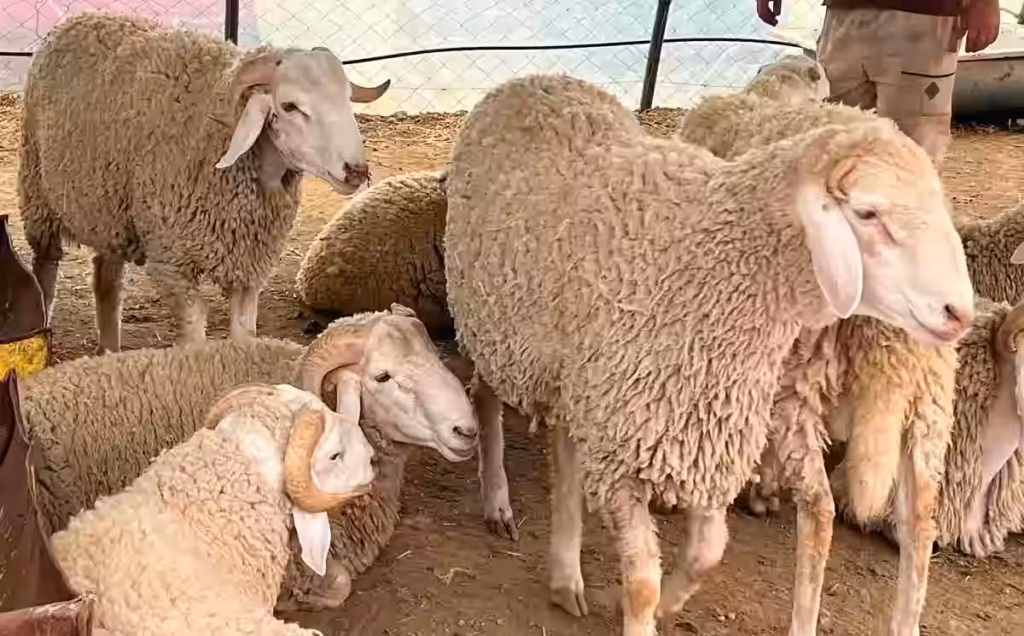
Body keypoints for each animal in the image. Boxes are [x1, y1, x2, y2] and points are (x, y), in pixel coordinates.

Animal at [19, 11, 390, 353]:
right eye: (289, 106)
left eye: (346, 98)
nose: (356, 170)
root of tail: (82, 17)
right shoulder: (174, 265)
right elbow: (195, 335)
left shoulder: (249, 267)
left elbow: (244, 333)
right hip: (37, 191)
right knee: (46, 266)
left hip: (109, 210)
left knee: (107, 278)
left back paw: (109, 348)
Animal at [444, 72, 974, 636]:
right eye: (868, 213)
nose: (958, 313)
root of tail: (538, 78)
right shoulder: (629, 457)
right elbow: (641, 584)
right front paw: (644, 611)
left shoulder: (701, 436)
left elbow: (708, 551)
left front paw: (669, 606)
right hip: (495, 327)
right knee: (484, 399)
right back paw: (498, 502)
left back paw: (566, 575)